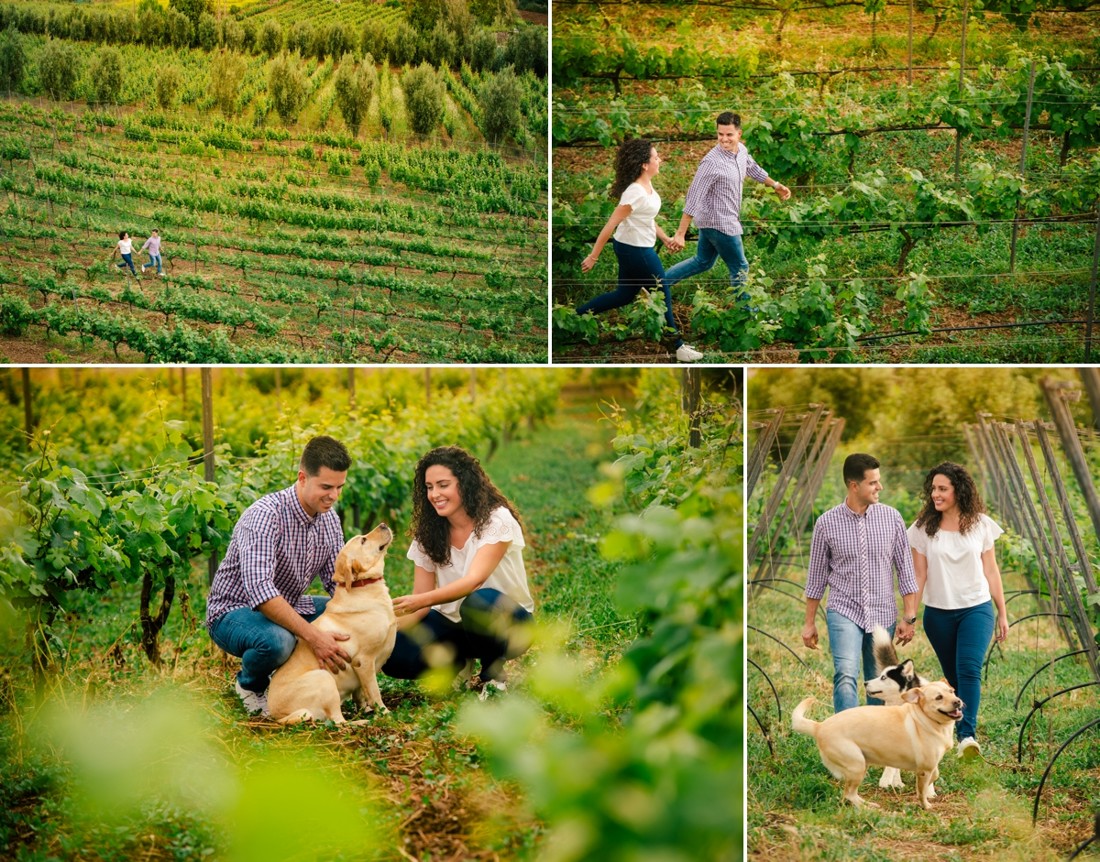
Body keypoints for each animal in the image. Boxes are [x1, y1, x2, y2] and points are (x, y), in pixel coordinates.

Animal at [268, 521, 398, 725]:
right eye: (363, 540)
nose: (384, 524)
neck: (363, 585)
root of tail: (277, 716)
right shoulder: (363, 661)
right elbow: (375, 692)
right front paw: (384, 713)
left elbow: (361, 693)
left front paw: (366, 710)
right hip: (325, 679)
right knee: (338, 721)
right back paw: (360, 723)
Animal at [792, 681, 963, 809]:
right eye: (939, 697)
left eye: (952, 691)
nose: (958, 701)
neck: (925, 718)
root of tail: (819, 727)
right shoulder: (924, 769)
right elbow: (921, 791)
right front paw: (926, 805)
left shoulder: (929, 766)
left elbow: (935, 775)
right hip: (857, 765)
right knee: (849, 794)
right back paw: (867, 808)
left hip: (861, 765)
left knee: (850, 794)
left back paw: (867, 804)